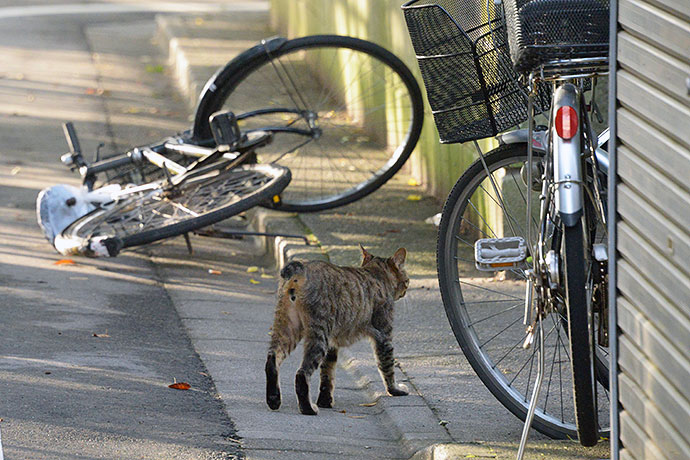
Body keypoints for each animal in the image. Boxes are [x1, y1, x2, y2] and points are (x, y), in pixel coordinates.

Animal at [264, 246, 408, 416]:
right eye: (407, 280)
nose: (406, 289)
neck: (376, 273)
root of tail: (302, 268)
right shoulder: (384, 335)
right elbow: (387, 366)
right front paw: (395, 390)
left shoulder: (332, 344)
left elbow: (327, 374)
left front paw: (325, 401)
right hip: (318, 335)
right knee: (302, 373)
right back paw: (308, 408)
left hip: (287, 327)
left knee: (272, 360)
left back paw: (273, 399)